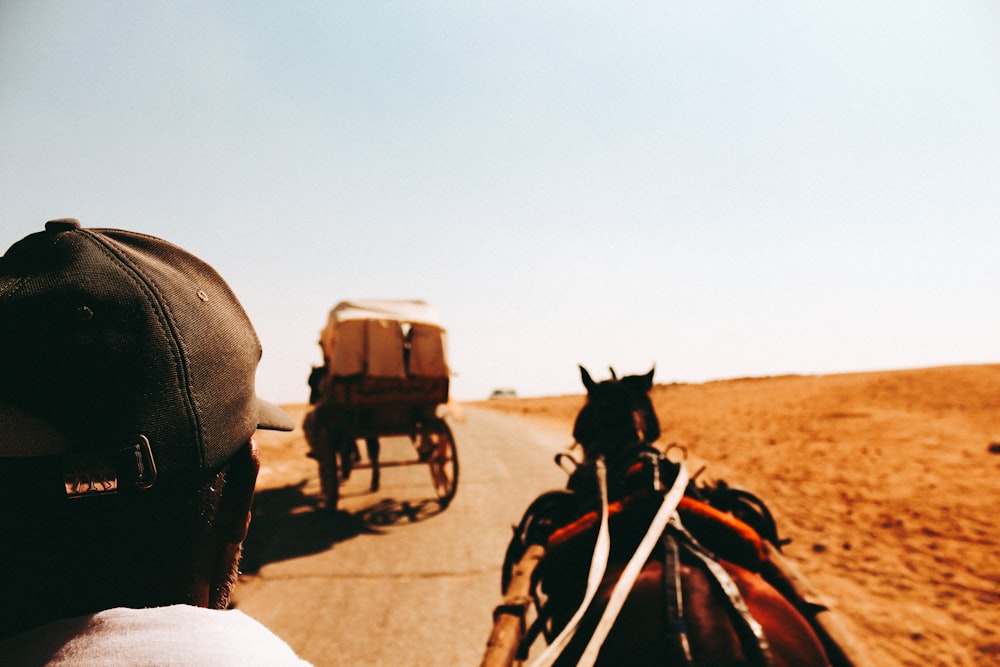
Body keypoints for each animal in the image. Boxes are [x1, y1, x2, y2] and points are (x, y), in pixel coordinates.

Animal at [302, 302, 458, 512]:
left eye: (311, 382)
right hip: (418, 415)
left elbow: (346, 451)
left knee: (345, 457)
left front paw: (346, 471)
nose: (312, 400)